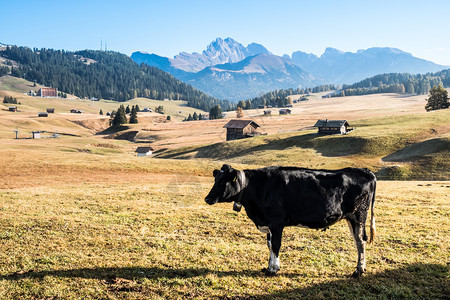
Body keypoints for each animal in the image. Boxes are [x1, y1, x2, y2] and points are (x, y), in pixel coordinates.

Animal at [204, 164, 376, 276]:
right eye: (215, 179)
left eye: (223, 181)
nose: (207, 198)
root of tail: (365, 171)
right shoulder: (269, 223)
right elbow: (269, 245)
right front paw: (269, 266)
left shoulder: (276, 223)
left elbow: (275, 245)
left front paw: (273, 269)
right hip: (351, 218)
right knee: (358, 240)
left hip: (358, 215)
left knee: (360, 241)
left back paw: (358, 270)